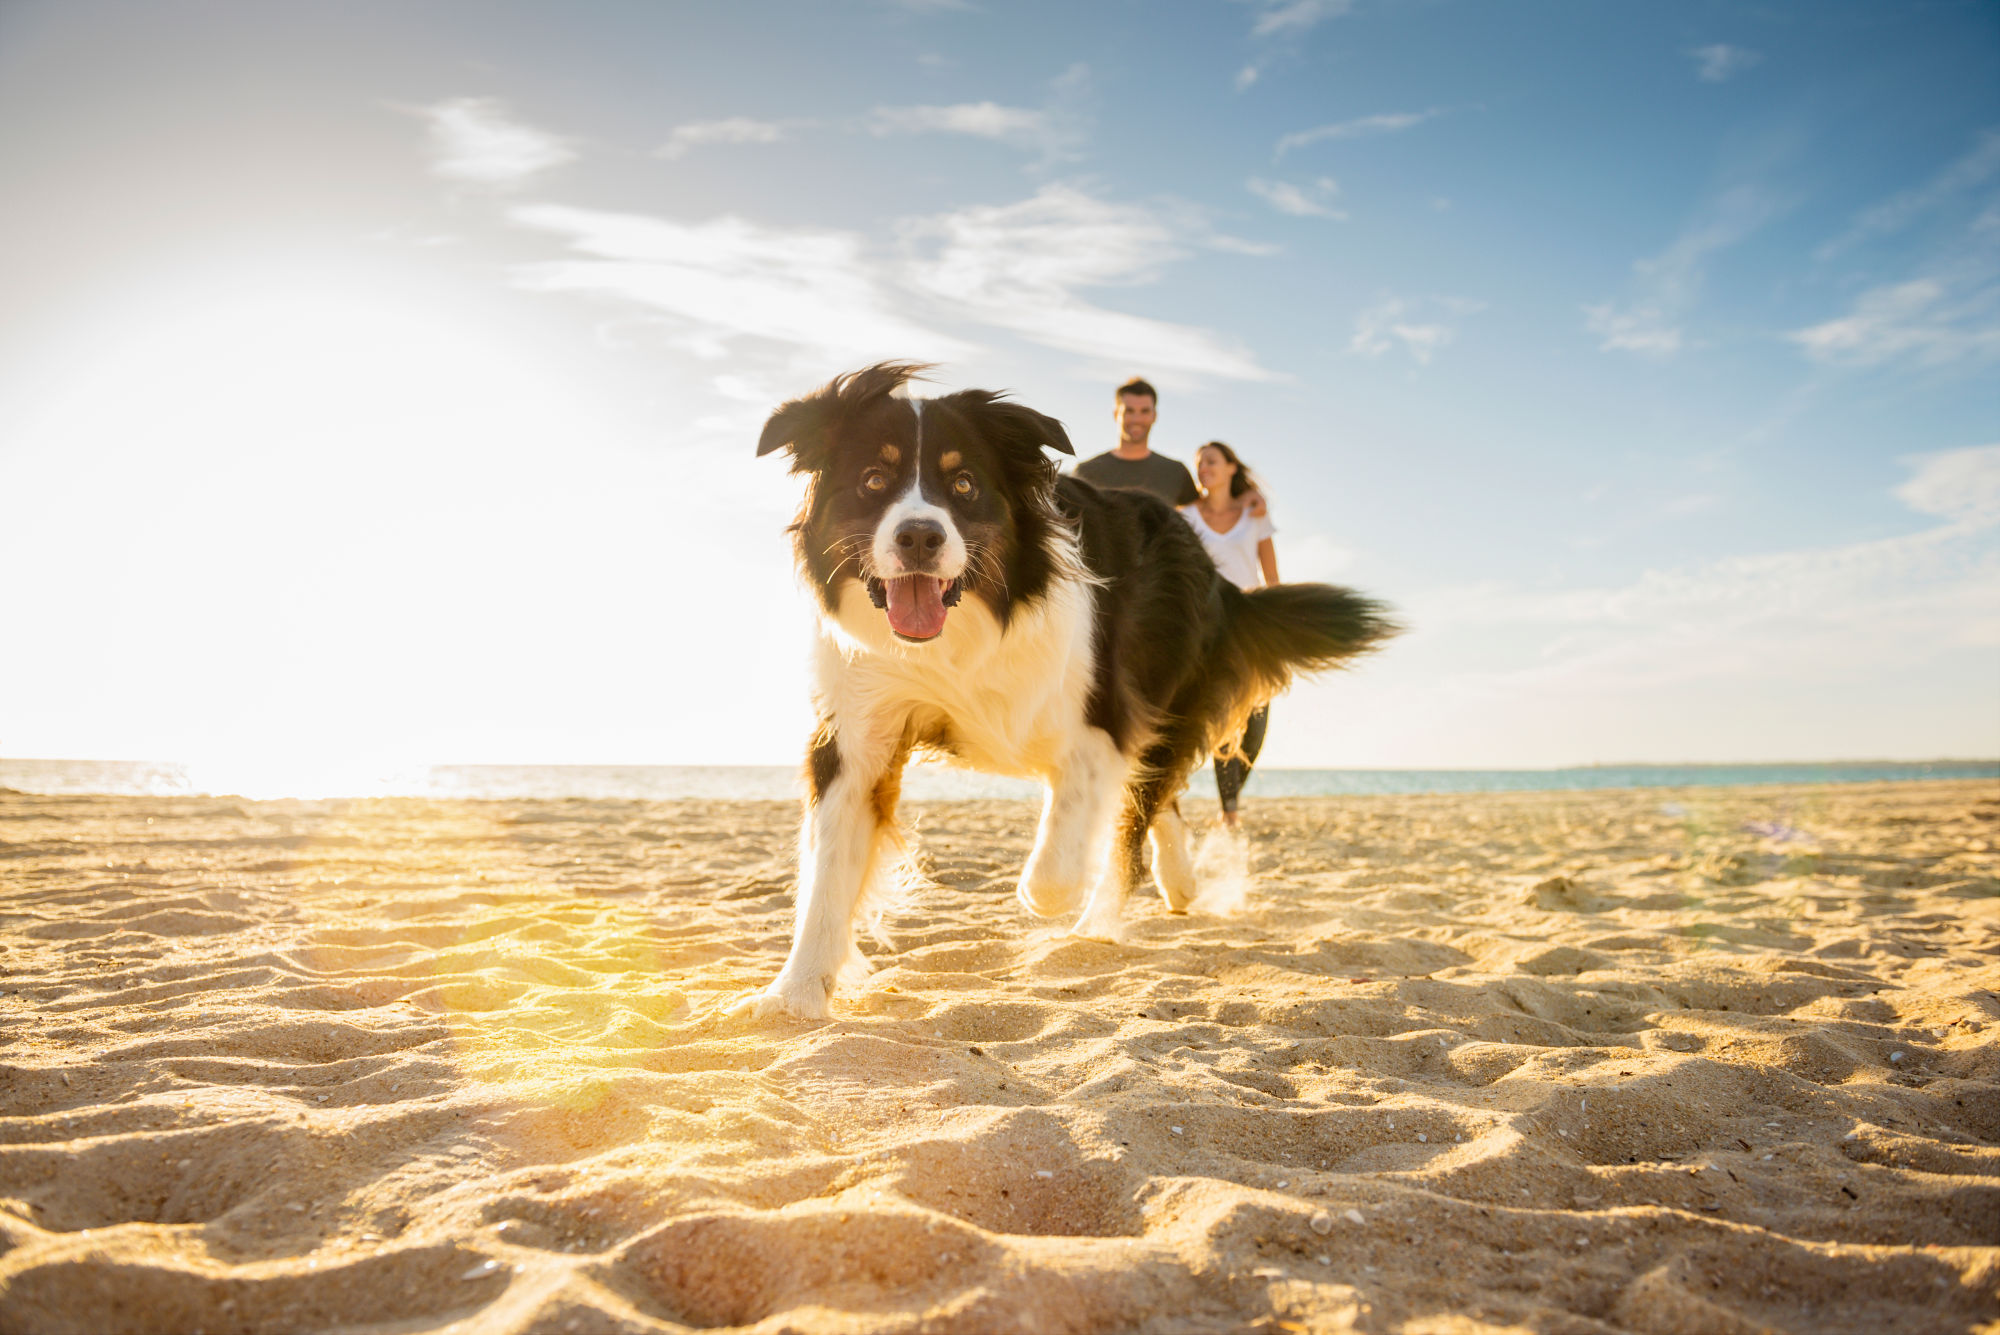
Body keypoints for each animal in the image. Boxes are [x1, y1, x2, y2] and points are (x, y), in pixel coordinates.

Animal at [740, 359, 1392, 1015]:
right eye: (873, 479)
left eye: (965, 484)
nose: (920, 537)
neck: (959, 634)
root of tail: (1212, 569)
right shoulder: (858, 733)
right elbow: (827, 873)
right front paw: (793, 995)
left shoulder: (1104, 717)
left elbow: (1062, 855)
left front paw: (1050, 899)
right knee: (1157, 800)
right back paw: (1178, 883)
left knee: (1137, 811)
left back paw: (1097, 926)